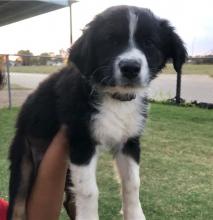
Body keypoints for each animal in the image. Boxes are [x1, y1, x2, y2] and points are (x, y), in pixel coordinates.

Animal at [7, 4, 186, 220]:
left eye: (149, 43)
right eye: (111, 41)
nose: (130, 68)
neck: (115, 98)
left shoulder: (129, 141)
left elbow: (133, 183)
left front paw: (135, 215)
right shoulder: (81, 140)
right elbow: (89, 190)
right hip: (24, 158)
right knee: (18, 204)